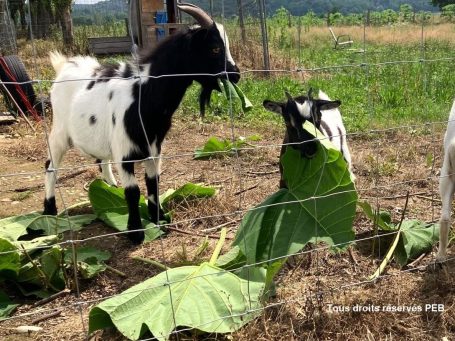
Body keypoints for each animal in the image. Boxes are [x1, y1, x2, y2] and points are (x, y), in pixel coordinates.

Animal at [44, 1, 240, 242]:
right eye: (214, 48)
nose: (236, 75)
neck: (143, 94)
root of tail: (64, 66)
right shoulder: (124, 150)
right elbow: (133, 191)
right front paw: (136, 232)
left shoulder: (154, 148)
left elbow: (153, 182)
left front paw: (160, 218)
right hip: (59, 133)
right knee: (50, 166)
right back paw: (49, 210)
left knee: (101, 161)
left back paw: (111, 187)